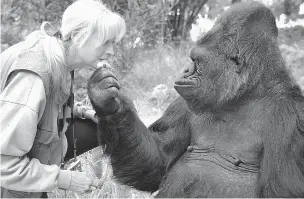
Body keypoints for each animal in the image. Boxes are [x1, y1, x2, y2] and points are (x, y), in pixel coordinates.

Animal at [86, 1, 302, 197]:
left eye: (197, 61)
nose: (185, 70)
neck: (243, 95)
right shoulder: (182, 104)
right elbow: (156, 162)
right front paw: (108, 103)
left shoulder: (293, 120)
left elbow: (282, 190)